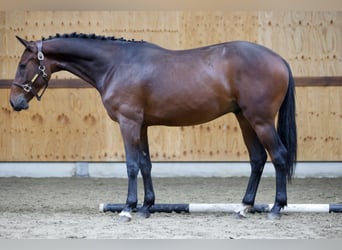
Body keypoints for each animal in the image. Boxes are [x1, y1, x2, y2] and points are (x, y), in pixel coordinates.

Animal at [8, 32, 296, 221]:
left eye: (23, 65)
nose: (14, 102)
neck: (116, 65)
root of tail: (279, 59)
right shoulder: (142, 125)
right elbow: (146, 164)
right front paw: (146, 207)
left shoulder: (129, 123)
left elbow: (131, 165)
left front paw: (128, 208)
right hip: (244, 118)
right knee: (258, 159)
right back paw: (244, 206)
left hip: (260, 120)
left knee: (279, 156)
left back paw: (275, 209)